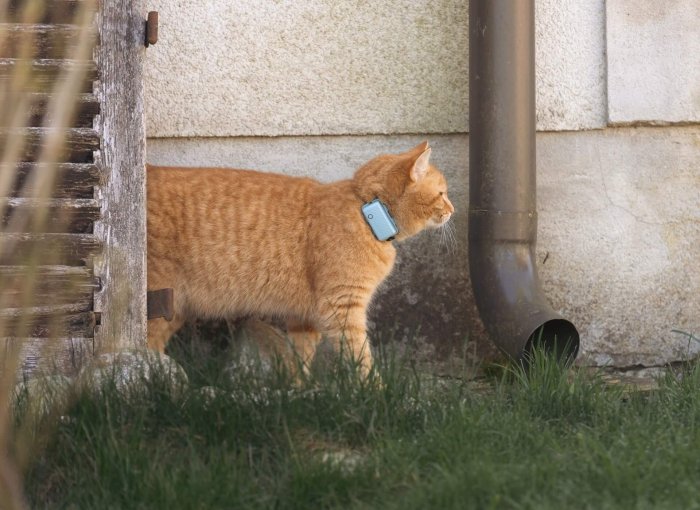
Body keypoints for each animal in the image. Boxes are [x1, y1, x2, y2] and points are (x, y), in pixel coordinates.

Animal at [146, 141, 454, 372]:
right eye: (442, 194)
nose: (453, 209)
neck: (366, 211)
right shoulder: (343, 307)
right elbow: (360, 358)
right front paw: (374, 394)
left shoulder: (305, 317)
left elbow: (300, 358)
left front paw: (299, 391)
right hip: (159, 300)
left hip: (175, 309)